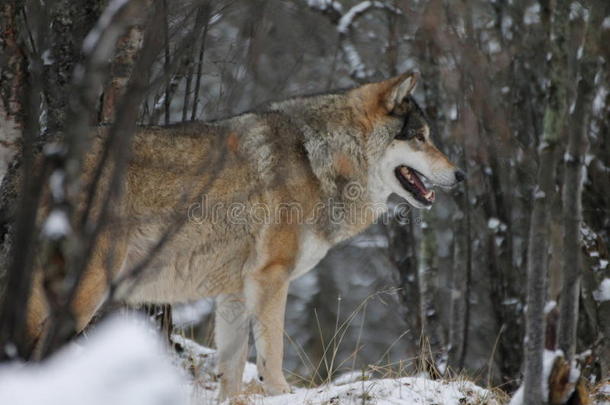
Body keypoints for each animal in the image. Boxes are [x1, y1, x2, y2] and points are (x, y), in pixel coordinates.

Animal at [3, 72, 460, 398]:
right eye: (421, 138)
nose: (460, 175)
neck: (322, 158)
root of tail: (44, 154)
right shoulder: (270, 277)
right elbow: (271, 355)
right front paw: (281, 392)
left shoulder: (234, 293)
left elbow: (232, 371)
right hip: (84, 292)